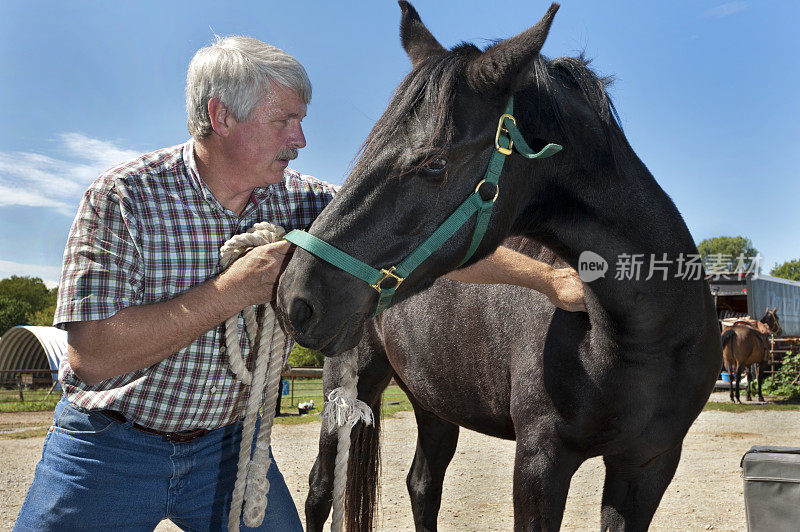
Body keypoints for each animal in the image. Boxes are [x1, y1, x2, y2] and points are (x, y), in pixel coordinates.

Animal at [278, 2, 720, 528]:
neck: (641, 336)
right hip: (346, 391)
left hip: (434, 401)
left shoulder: (647, 464)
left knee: (422, 485)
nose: (296, 296)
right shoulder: (539, 461)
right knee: (320, 490)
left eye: (434, 163)